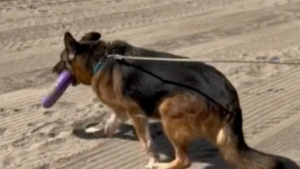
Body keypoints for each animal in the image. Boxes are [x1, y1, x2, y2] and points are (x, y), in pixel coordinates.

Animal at [52, 31, 284, 169]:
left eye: (61, 60)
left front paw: (153, 159)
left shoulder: (136, 113)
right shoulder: (120, 111)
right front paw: (96, 131)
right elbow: (109, 125)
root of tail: (229, 96)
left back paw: (163, 166)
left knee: (184, 161)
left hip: (167, 109)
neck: (99, 59)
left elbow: (146, 143)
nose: (52, 71)